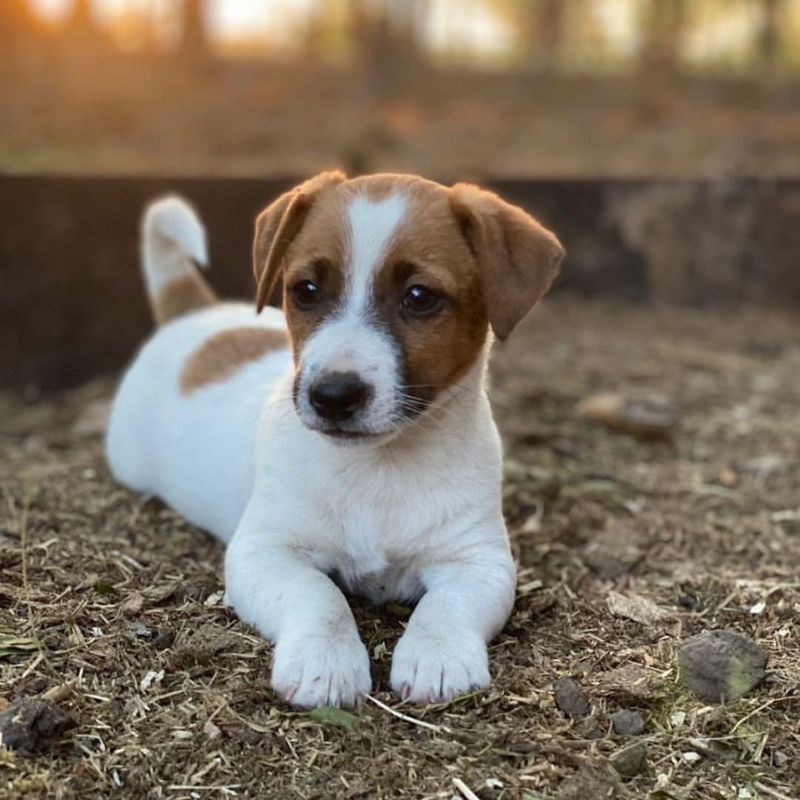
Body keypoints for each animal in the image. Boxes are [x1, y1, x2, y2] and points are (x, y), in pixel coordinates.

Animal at [106, 173, 564, 708]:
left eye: (419, 296)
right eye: (306, 290)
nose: (332, 395)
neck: (380, 464)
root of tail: (194, 314)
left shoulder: (478, 560)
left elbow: (447, 605)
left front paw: (438, 656)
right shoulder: (264, 551)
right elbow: (318, 597)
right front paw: (325, 663)